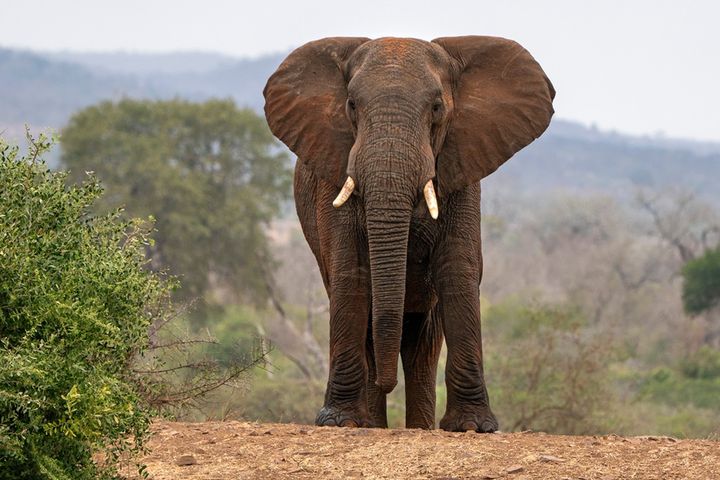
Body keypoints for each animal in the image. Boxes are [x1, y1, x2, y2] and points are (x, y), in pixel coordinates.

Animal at [262, 34, 556, 432]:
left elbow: (456, 269)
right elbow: (352, 272)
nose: (386, 383)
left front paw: (473, 427)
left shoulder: (463, 171)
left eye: (436, 108)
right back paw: (372, 423)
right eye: (351, 105)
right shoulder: (334, 173)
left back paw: (418, 426)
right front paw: (340, 422)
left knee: (423, 345)